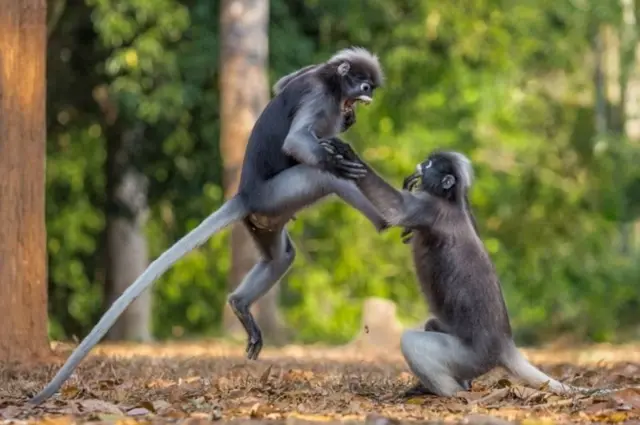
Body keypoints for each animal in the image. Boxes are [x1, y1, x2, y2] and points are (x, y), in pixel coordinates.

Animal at [29, 47, 386, 405]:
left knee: (280, 257)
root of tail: (244, 196)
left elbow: (281, 85)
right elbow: (297, 142)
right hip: (279, 195)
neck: (331, 80)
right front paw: (338, 153)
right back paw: (383, 218)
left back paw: (240, 304)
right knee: (321, 176)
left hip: (265, 219)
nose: (366, 95)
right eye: (364, 84)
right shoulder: (318, 93)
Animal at [319, 139, 628, 398]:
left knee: (412, 341)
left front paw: (348, 154)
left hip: (469, 357)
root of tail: (505, 346)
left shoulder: (430, 209)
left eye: (429, 164)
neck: (451, 201)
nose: (420, 164)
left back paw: (452, 395)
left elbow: (394, 209)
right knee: (432, 326)